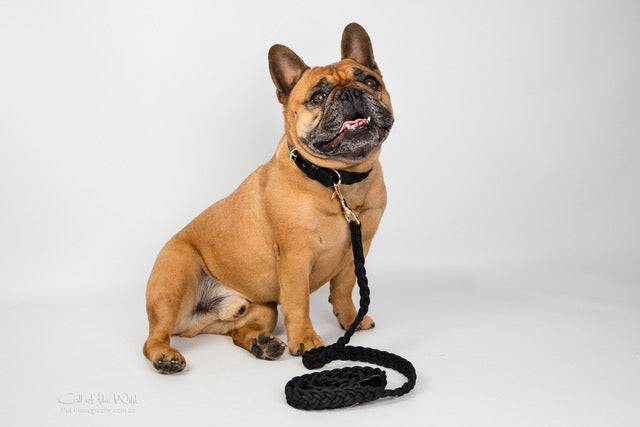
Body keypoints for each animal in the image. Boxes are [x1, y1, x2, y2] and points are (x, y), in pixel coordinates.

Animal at [142, 22, 392, 374]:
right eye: (318, 97)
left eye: (370, 81)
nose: (351, 92)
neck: (337, 180)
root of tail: (193, 325)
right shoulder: (295, 257)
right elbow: (299, 301)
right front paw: (306, 340)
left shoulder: (357, 249)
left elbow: (344, 289)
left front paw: (349, 321)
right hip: (174, 279)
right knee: (153, 337)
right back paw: (166, 356)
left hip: (263, 308)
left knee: (240, 333)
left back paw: (262, 345)